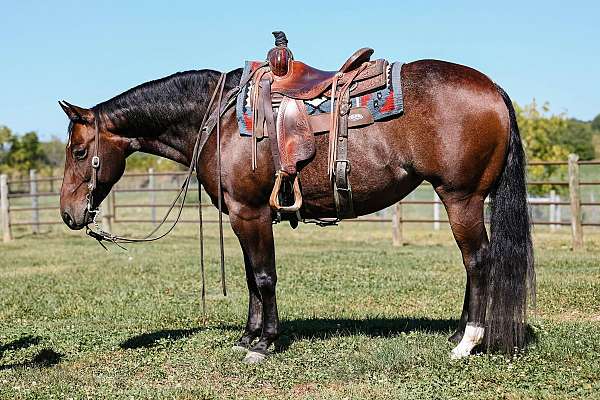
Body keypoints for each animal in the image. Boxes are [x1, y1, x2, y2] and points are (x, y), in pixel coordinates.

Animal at [57, 58, 536, 362]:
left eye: (79, 152)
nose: (67, 214)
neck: (219, 121)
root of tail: (493, 89)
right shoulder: (242, 216)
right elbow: (251, 278)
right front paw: (247, 336)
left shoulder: (250, 212)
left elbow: (264, 277)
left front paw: (264, 343)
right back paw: (460, 332)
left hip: (461, 198)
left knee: (478, 261)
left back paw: (467, 342)